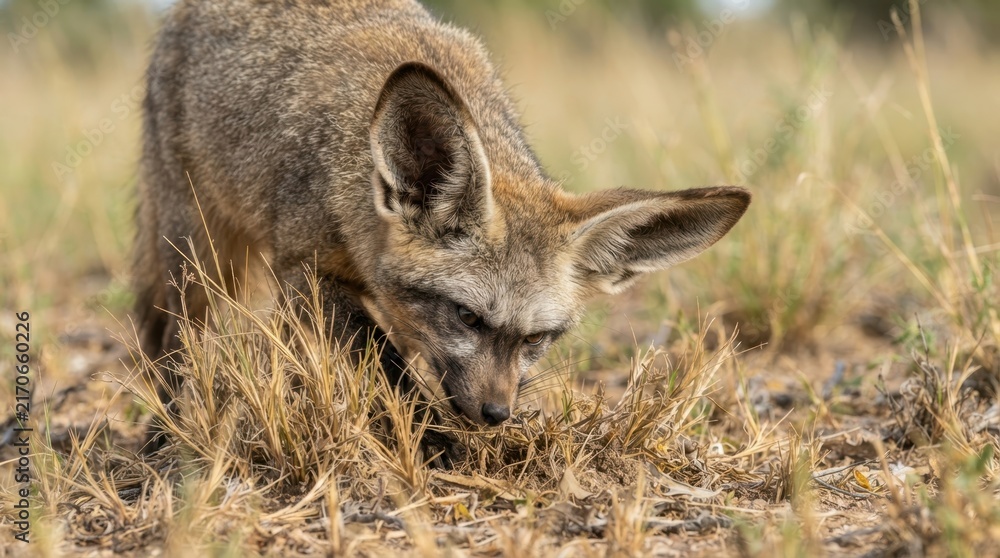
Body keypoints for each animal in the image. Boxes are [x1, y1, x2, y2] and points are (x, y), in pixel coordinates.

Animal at [135, 0, 750, 428]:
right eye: (467, 317)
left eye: (537, 338)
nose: (495, 416)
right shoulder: (305, 269)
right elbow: (384, 364)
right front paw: (433, 440)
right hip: (195, 256)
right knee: (175, 340)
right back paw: (165, 430)